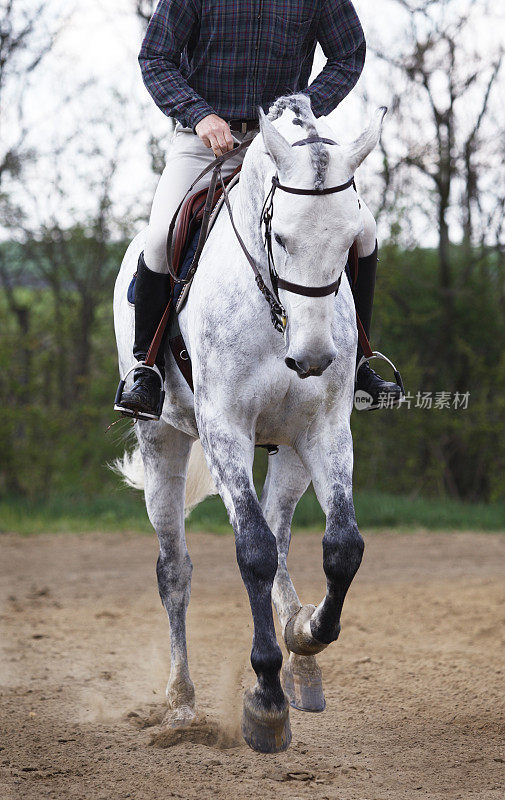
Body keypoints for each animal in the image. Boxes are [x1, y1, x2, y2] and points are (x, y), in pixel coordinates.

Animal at [114, 95, 386, 756]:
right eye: (280, 237)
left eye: (351, 243)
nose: (313, 358)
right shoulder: (225, 432)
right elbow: (253, 551)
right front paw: (264, 701)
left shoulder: (326, 430)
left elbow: (342, 547)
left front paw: (307, 635)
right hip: (162, 443)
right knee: (175, 570)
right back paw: (181, 705)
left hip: (290, 451)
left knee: (286, 537)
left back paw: (302, 661)